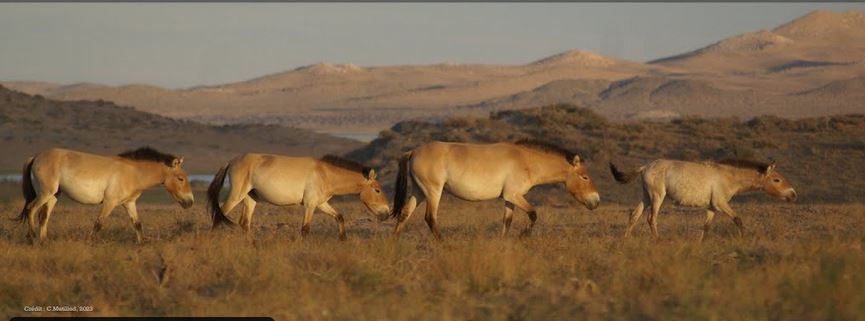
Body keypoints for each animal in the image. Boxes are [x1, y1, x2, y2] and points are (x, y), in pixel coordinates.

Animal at [17, 146, 194, 241]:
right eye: (180, 178)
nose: (190, 202)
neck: (132, 172)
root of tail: (36, 157)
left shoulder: (129, 203)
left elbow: (137, 224)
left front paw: (142, 244)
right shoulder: (110, 202)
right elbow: (98, 224)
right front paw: (89, 243)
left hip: (53, 196)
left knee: (43, 217)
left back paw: (43, 241)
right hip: (45, 194)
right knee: (31, 209)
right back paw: (31, 238)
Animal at [392, 139, 600, 239]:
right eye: (585, 177)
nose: (596, 201)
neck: (526, 161)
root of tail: (413, 152)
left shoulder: (509, 199)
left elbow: (506, 222)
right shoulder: (514, 195)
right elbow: (533, 214)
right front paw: (524, 236)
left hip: (419, 192)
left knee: (404, 214)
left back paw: (394, 244)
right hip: (433, 192)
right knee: (430, 218)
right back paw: (445, 245)